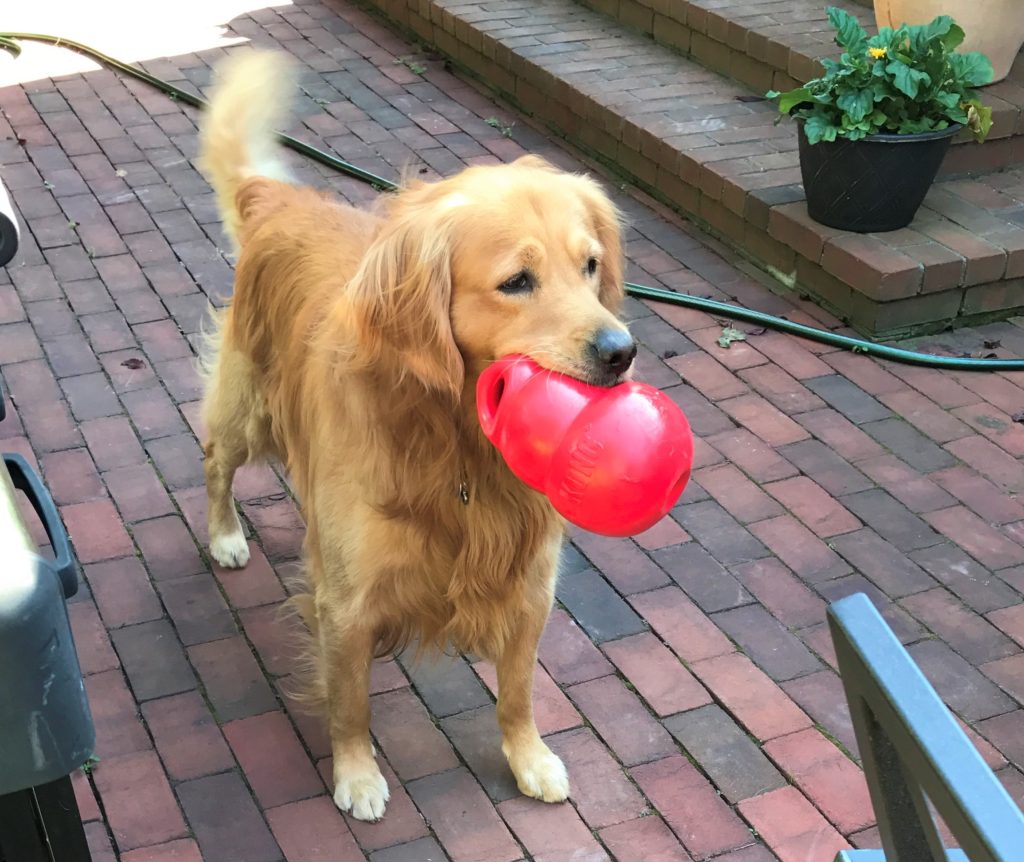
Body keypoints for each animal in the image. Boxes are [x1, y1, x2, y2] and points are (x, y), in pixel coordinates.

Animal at [195, 48, 634, 819]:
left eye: (590, 266)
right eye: (517, 281)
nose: (621, 352)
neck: (459, 448)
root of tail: (279, 199)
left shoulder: (531, 582)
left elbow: (519, 691)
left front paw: (529, 757)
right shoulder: (346, 600)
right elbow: (352, 703)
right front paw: (357, 775)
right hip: (250, 409)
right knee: (216, 456)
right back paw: (224, 535)